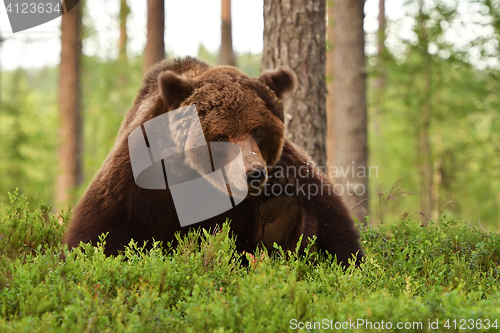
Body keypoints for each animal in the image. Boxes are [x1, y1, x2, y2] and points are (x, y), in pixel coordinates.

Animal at [63, 55, 364, 266]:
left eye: (257, 129)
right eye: (221, 135)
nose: (253, 173)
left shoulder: (290, 171)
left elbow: (337, 236)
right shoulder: (139, 181)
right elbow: (98, 233)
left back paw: (278, 218)